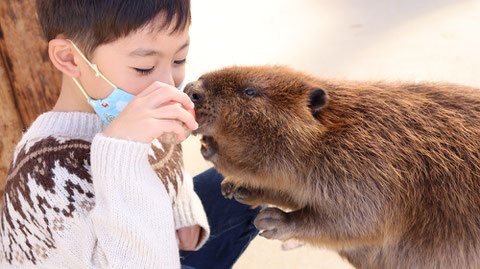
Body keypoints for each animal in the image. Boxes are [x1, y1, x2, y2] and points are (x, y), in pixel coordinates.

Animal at [185, 65, 480, 268]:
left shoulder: (367, 165)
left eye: (250, 91)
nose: (192, 89)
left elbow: (361, 220)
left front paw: (273, 221)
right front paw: (237, 187)